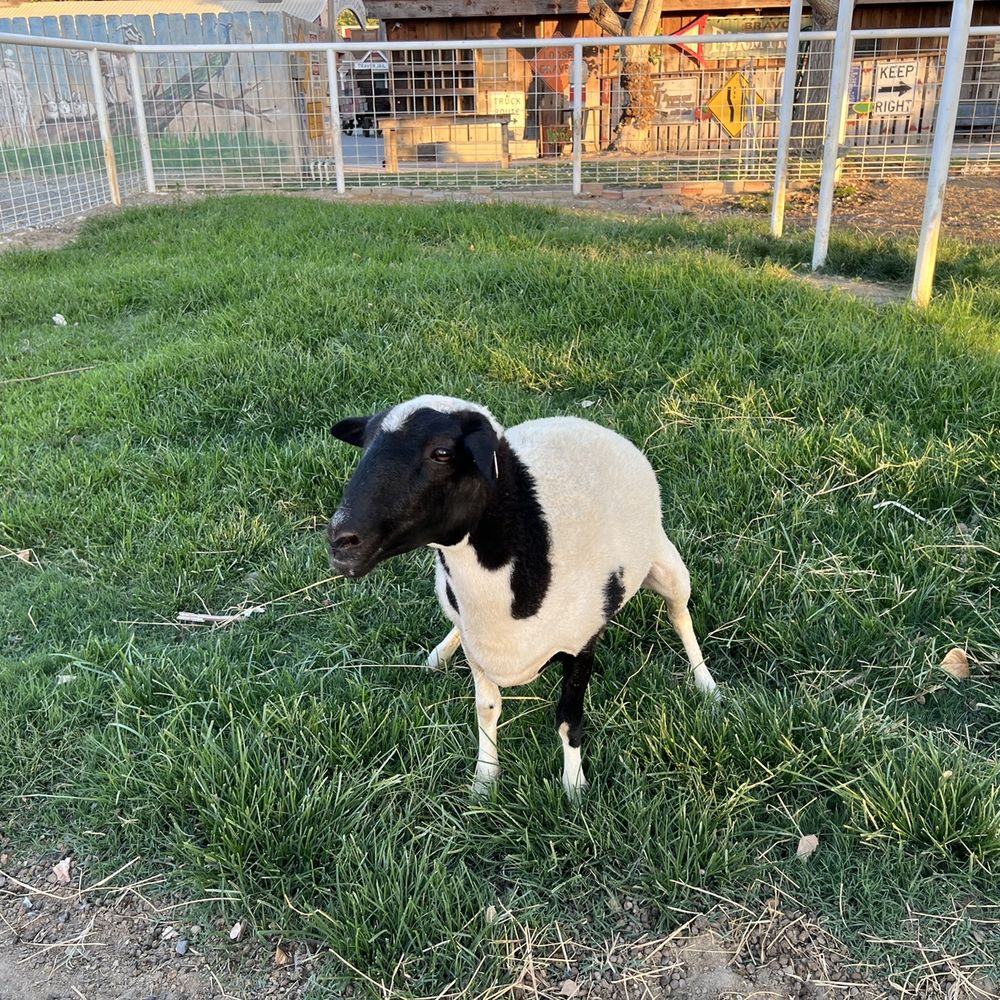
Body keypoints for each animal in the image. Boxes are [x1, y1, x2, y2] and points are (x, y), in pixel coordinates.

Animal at [328, 395, 717, 798]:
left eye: (442, 453)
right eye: (365, 445)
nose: (340, 541)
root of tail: (580, 421)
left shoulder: (582, 643)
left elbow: (568, 718)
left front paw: (574, 787)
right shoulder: (478, 648)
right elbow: (486, 707)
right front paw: (485, 780)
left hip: (667, 566)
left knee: (679, 615)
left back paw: (705, 683)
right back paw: (439, 655)